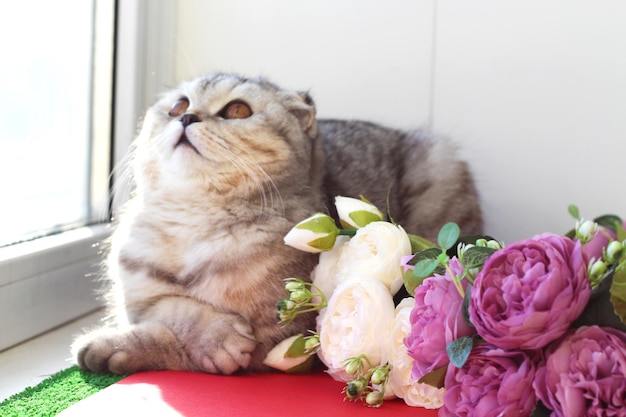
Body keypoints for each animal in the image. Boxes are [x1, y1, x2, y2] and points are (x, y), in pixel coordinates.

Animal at [72, 71, 482, 374]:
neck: (195, 221)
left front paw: (116, 348)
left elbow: (175, 343)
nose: (187, 117)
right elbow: (174, 308)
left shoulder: (278, 339)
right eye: (178, 105)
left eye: (237, 110)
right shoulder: (138, 296)